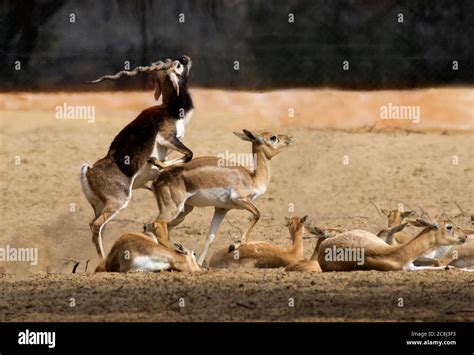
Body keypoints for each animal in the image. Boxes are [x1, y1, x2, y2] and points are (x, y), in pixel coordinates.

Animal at [80, 55, 193, 258]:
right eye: (178, 65)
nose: (185, 58)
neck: (170, 110)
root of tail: (89, 170)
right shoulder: (168, 139)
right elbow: (189, 154)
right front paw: (154, 162)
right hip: (118, 202)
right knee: (95, 225)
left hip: (100, 206)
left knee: (100, 229)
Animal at [152, 129, 292, 266]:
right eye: (273, 137)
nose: (289, 138)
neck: (252, 178)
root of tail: (158, 179)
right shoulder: (241, 199)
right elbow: (257, 214)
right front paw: (234, 245)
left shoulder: (221, 209)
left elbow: (210, 237)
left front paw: (200, 264)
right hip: (173, 208)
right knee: (158, 226)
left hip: (185, 210)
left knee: (161, 228)